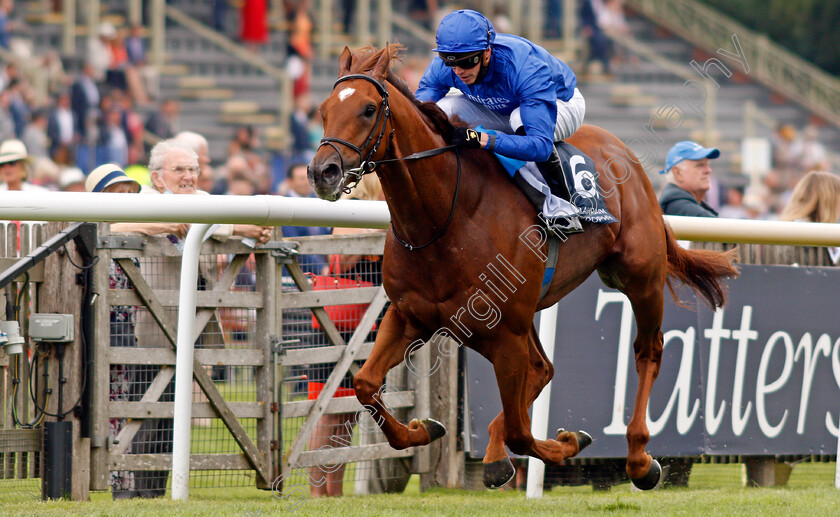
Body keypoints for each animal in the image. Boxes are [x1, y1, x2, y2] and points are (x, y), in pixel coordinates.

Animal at [306, 43, 736, 488]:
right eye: (323, 109)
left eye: (369, 109)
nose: (323, 171)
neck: (444, 218)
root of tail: (626, 154)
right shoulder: (410, 316)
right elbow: (364, 384)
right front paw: (423, 429)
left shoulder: (506, 332)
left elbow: (521, 430)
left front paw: (568, 442)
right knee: (543, 369)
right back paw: (498, 455)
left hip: (639, 277)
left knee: (646, 351)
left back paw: (639, 458)